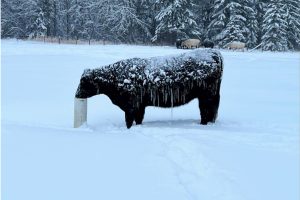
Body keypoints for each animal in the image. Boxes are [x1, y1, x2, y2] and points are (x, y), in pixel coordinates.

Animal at [75, 49, 223, 129]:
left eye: (83, 81)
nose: (76, 94)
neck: (115, 76)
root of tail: (213, 52)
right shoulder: (140, 106)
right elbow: (139, 119)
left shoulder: (131, 106)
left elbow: (129, 121)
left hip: (206, 97)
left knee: (205, 112)